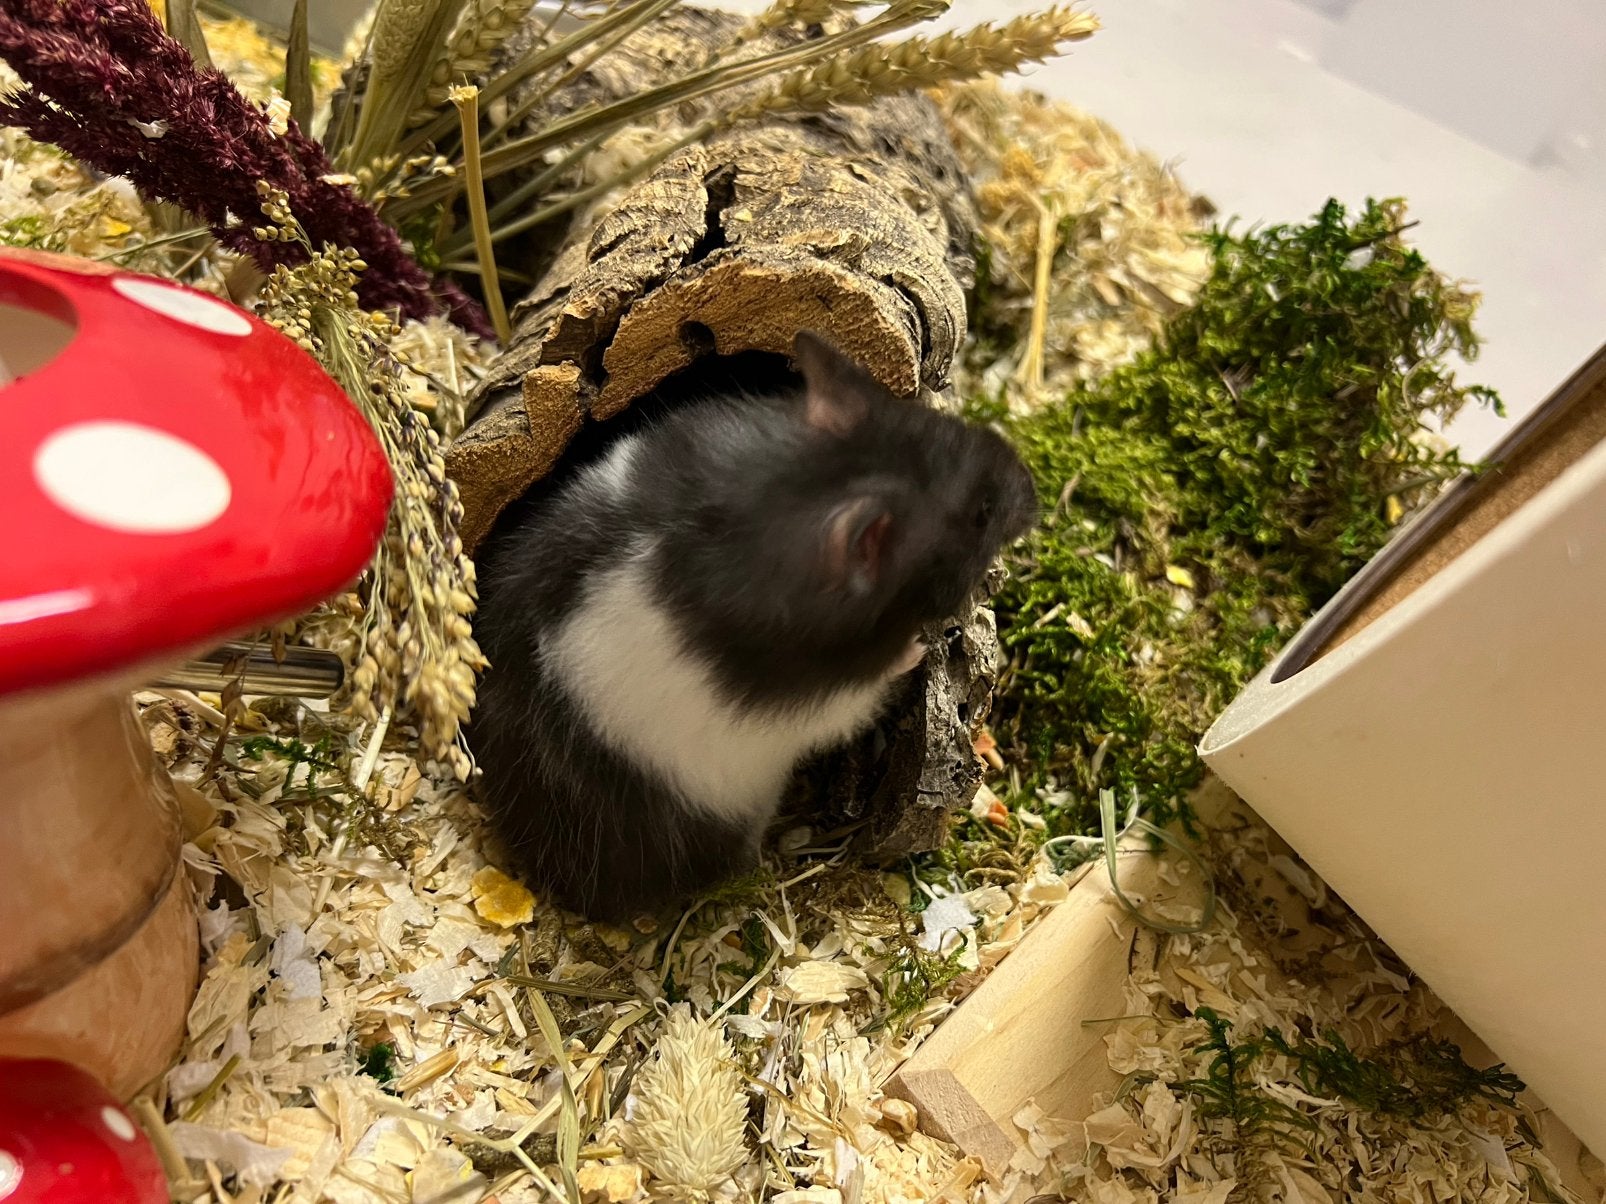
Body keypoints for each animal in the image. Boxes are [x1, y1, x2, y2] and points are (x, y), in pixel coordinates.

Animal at [467, 331, 1037, 922]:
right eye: (981, 513)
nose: (1032, 489)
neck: (784, 497)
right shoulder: (827, 694)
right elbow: (872, 683)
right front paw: (920, 646)